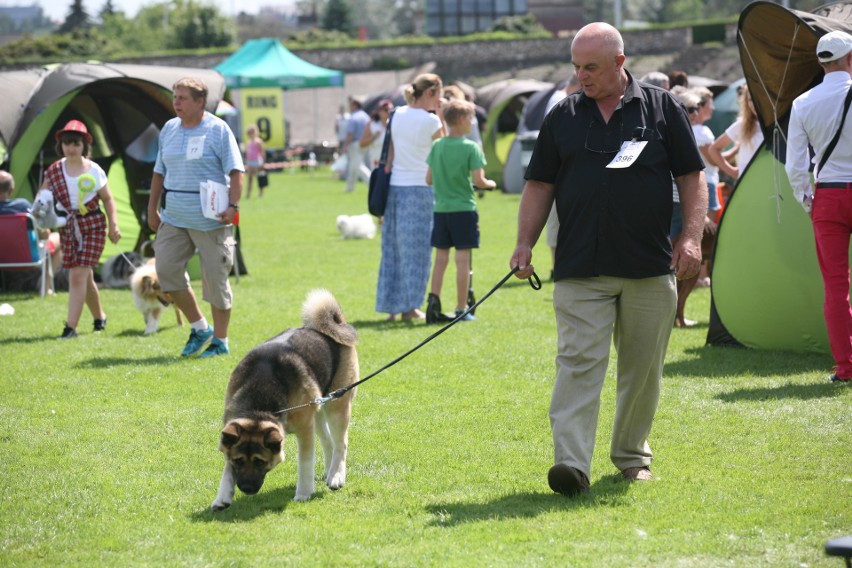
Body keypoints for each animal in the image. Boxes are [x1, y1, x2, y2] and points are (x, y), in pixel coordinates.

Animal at [215, 288, 362, 510]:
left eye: (260, 461)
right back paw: (329, 472)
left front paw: (303, 492)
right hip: (317, 408)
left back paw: (336, 476)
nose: (247, 489)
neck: (259, 407)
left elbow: (305, 463)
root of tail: (331, 326)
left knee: (340, 443)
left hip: (337, 405)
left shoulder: (305, 430)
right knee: (328, 441)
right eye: (238, 461)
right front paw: (222, 495)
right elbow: (226, 470)